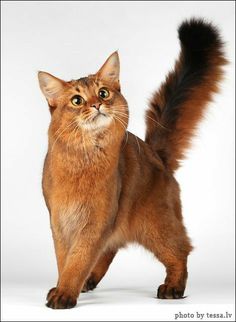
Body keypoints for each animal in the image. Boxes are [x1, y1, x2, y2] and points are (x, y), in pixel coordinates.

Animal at [37, 18, 226, 310]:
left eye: (103, 93)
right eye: (77, 100)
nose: (97, 105)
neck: (83, 159)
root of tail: (154, 154)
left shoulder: (96, 220)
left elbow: (79, 258)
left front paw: (65, 292)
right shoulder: (60, 220)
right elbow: (65, 259)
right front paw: (64, 286)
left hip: (156, 223)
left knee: (181, 249)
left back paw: (173, 287)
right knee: (110, 249)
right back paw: (89, 280)